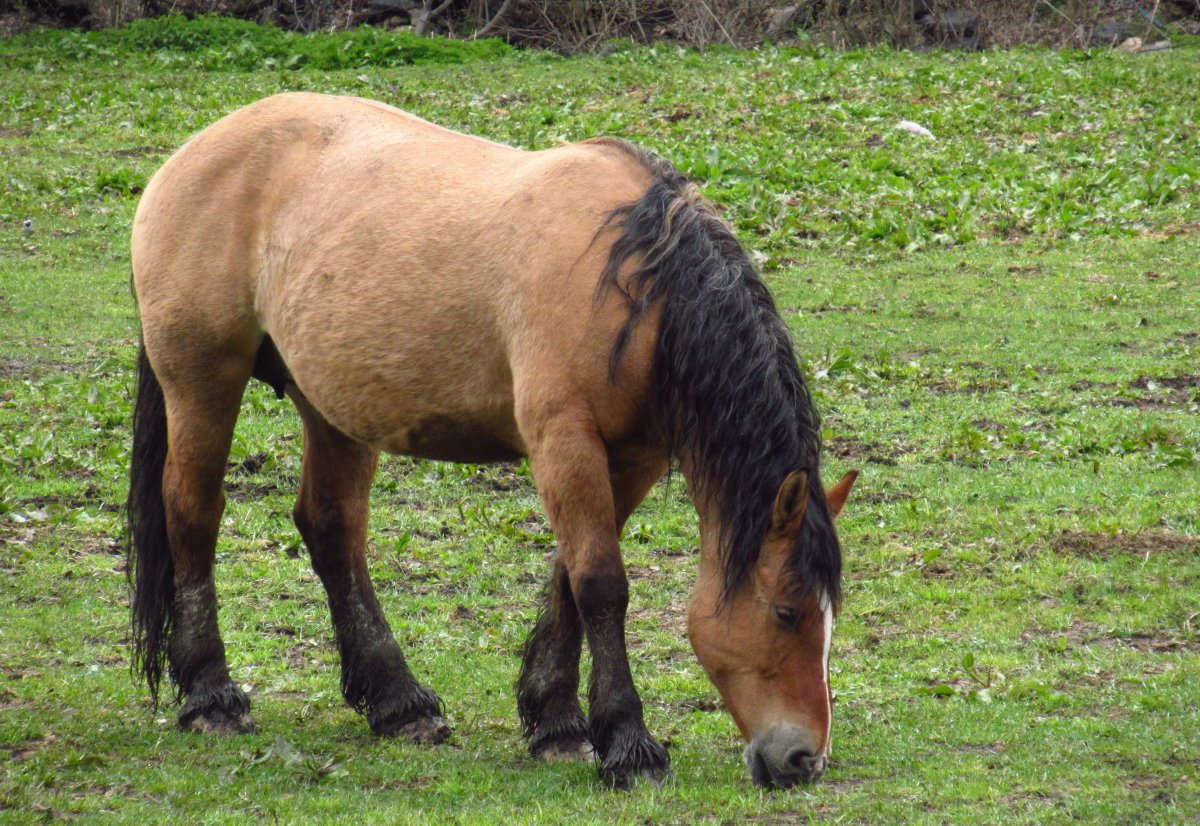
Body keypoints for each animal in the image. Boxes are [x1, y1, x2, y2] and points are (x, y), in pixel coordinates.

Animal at [129, 93, 854, 792]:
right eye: (786, 611)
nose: (804, 760)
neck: (634, 282)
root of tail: (191, 153)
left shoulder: (634, 456)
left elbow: (569, 577)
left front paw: (557, 722)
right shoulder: (564, 440)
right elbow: (601, 584)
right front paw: (627, 745)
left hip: (333, 407)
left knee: (332, 529)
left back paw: (398, 703)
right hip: (201, 383)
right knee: (192, 514)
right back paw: (212, 696)